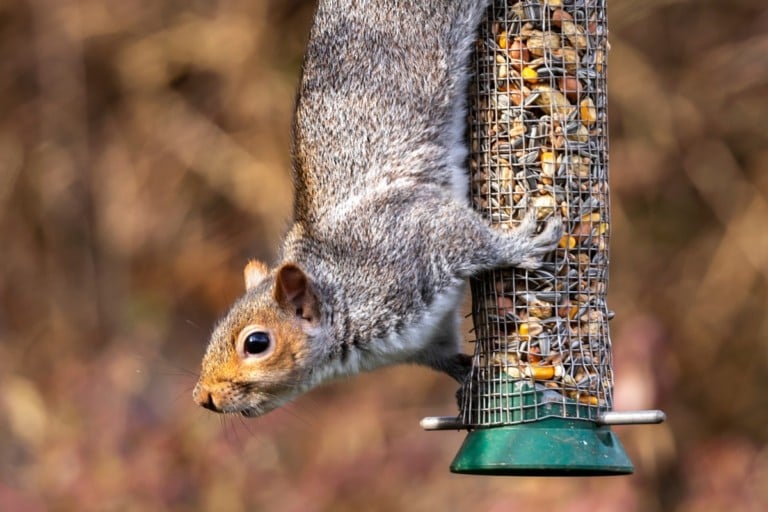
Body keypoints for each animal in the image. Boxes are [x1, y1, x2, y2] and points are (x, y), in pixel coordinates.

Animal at [193, 0, 562, 417]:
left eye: (256, 343)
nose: (202, 397)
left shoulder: (408, 237)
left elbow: (469, 239)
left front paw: (520, 245)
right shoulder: (426, 341)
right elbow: (448, 358)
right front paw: (469, 382)